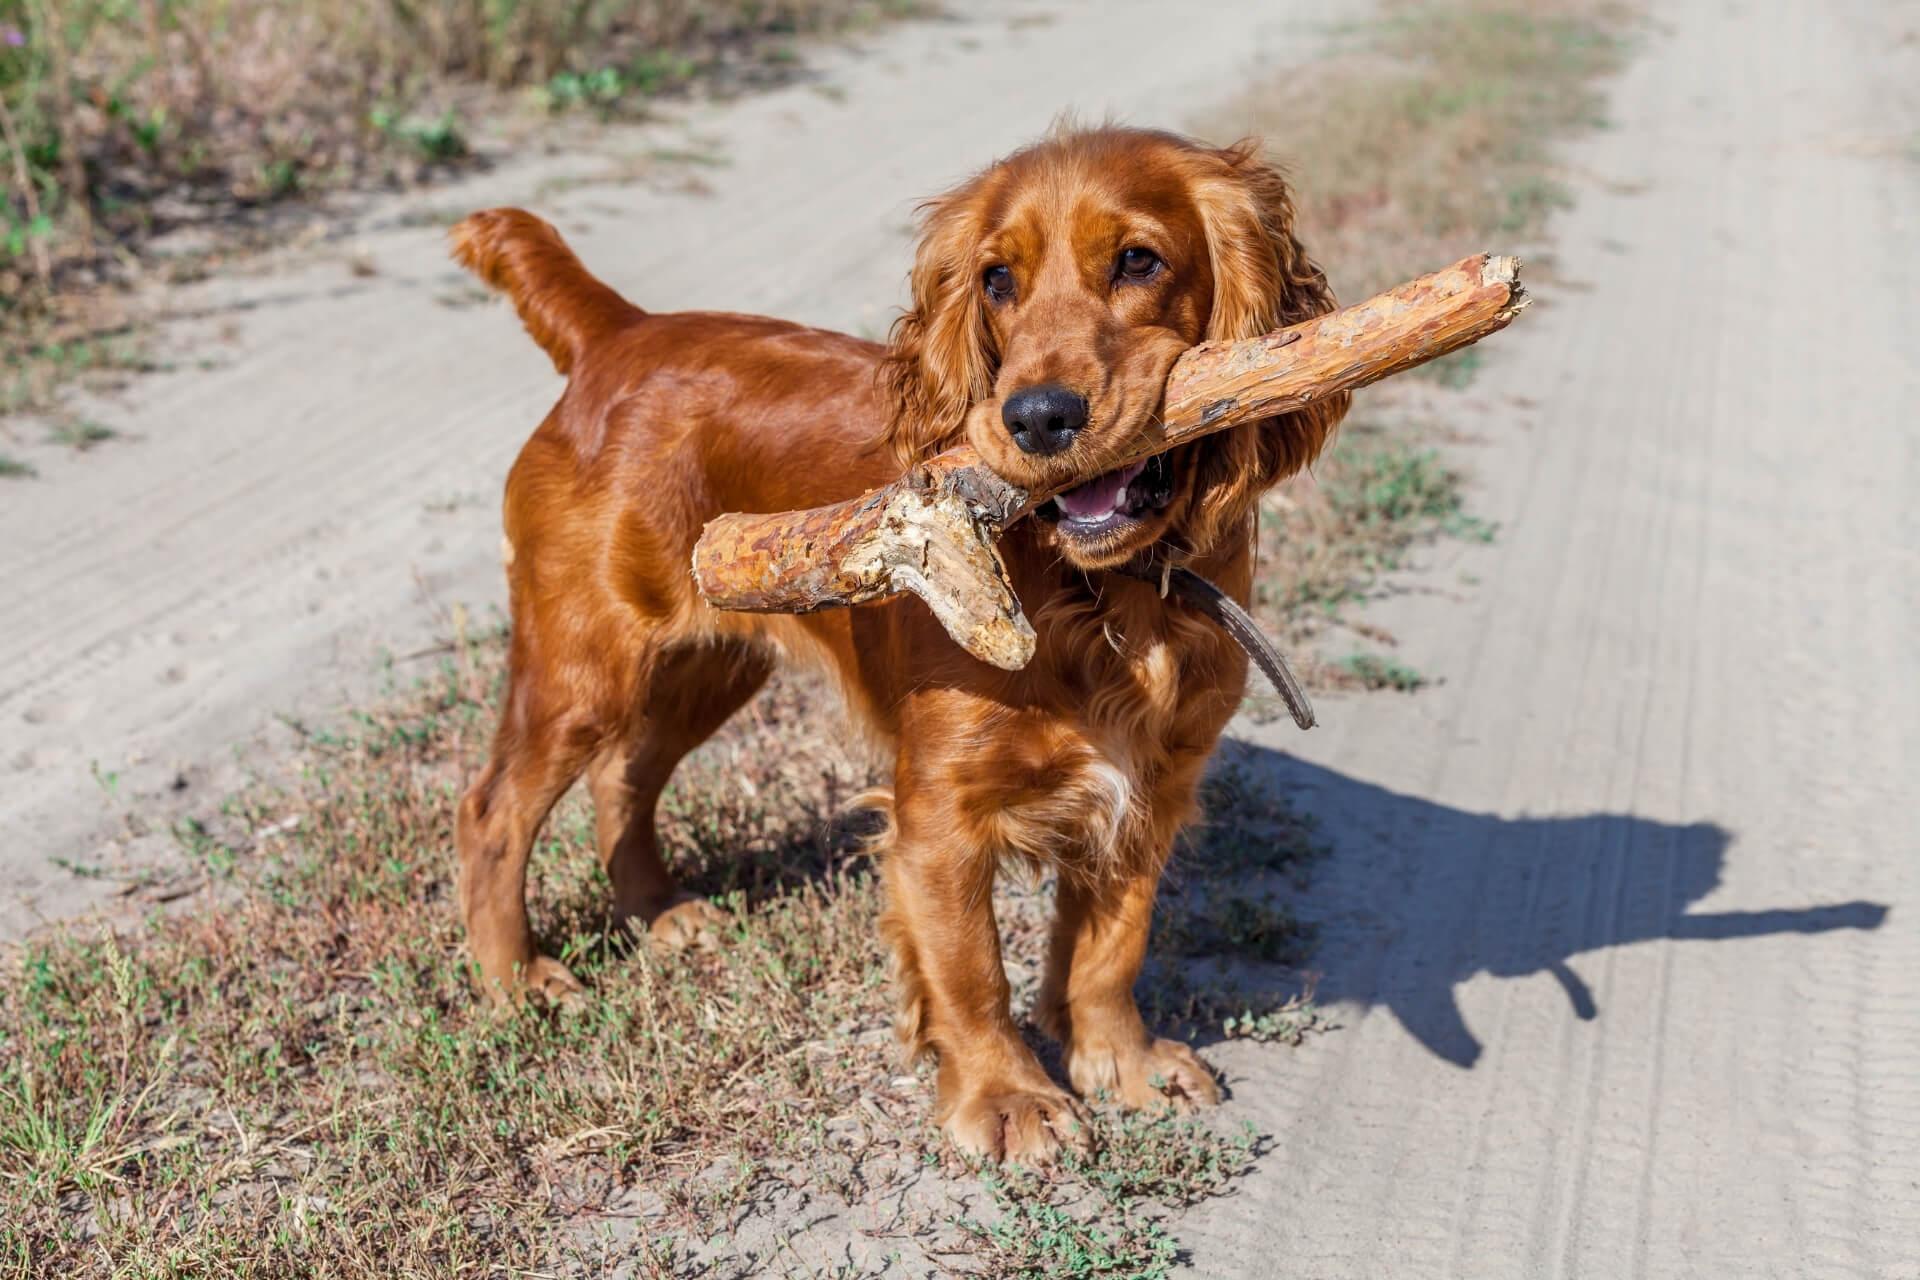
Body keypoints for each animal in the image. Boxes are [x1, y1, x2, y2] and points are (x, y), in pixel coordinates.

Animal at [449, 127, 1351, 1159]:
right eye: (996, 280)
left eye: (1138, 260)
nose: (1036, 416)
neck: (1104, 595)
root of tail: (619, 333)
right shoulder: (939, 815)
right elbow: (972, 970)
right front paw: (1008, 1097)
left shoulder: (1152, 786)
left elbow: (1111, 948)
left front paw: (1120, 1062)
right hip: (585, 665)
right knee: (492, 812)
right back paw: (517, 983)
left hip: (711, 665)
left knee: (623, 777)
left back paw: (659, 913)